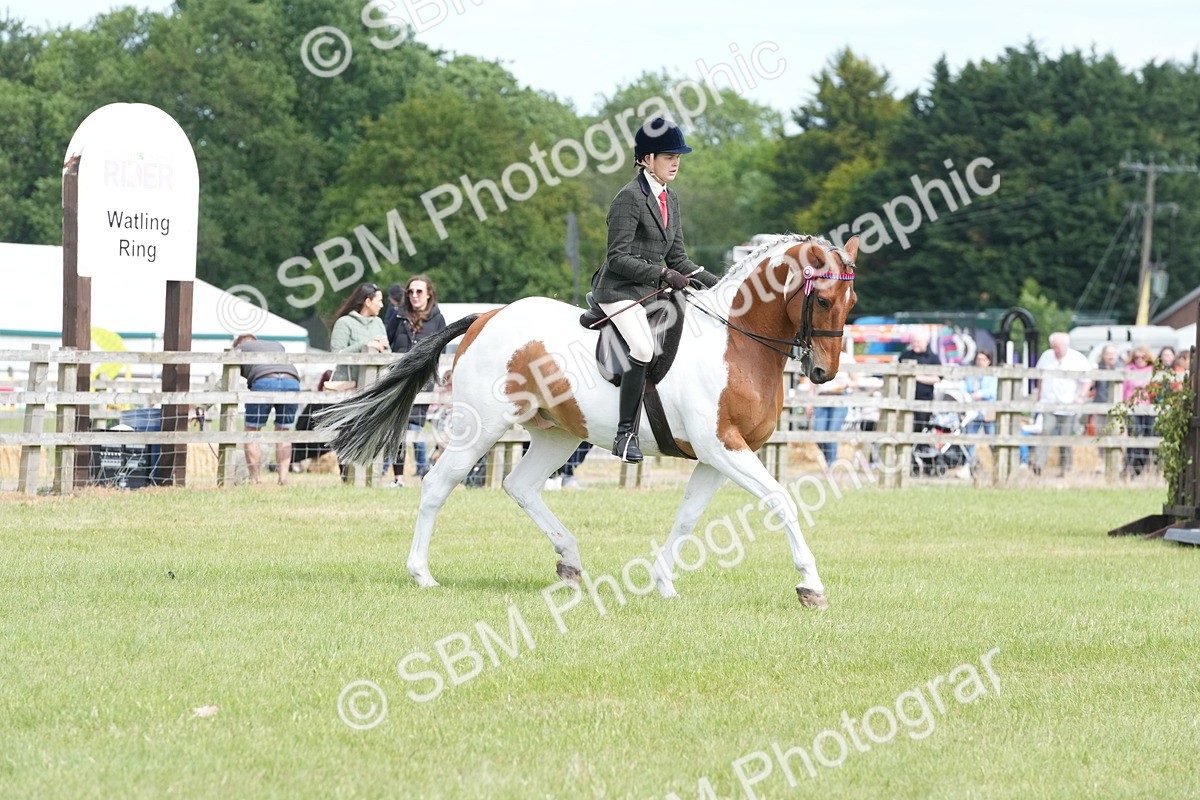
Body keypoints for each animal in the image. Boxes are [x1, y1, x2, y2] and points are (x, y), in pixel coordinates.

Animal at [320, 233, 858, 608]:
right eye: (823, 300)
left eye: (851, 304)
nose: (822, 373)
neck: (736, 340)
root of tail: (487, 316)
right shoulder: (722, 447)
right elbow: (781, 500)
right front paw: (810, 586)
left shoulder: (714, 455)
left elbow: (687, 517)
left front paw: (664, 583)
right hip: (482, 426)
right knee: (438, 484)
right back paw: (422, 574)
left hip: (557, 433)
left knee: (521, 486)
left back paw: (570, 562)